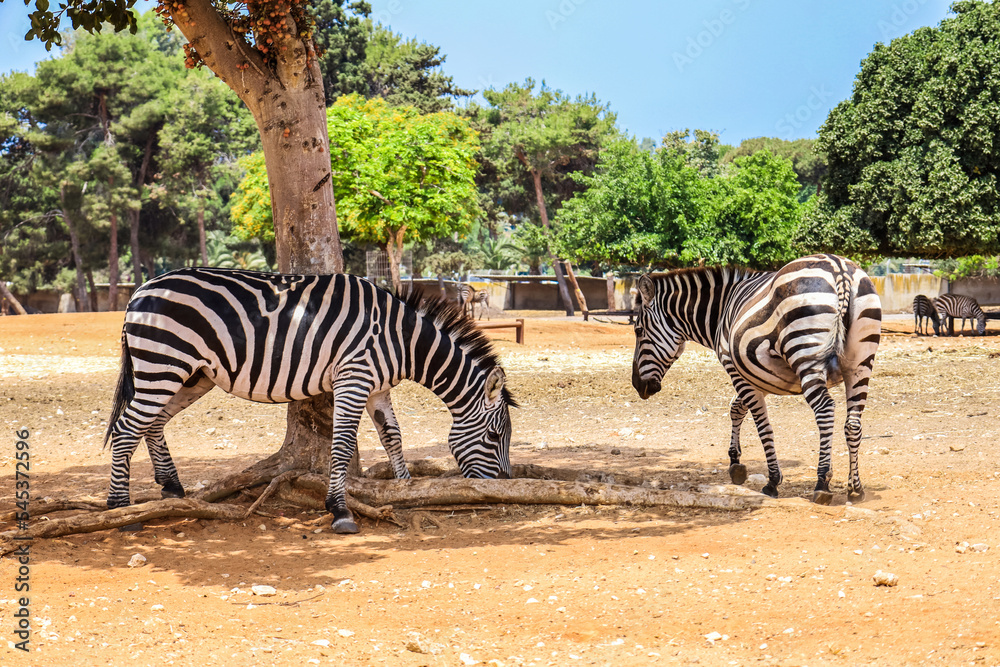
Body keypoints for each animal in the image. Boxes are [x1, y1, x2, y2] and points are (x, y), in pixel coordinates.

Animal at [106, 268, 520, 536]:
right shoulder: (354, 377)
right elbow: (342, 445)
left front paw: (406, 491)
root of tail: (141, 289)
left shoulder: (377, 387)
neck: (401, 340)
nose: (504, 487)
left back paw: (171, 488)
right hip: (164, 363)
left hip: (193, 375)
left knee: (153, 423)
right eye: (495, 436)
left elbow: (393, 437)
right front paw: (339, 511)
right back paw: (121, 510)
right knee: (126, 430)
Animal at [636, 253, 880, 504]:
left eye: (638, 331)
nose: (638, 385)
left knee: (825, 410)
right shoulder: (759, 375)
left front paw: (772, 481)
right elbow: (737, 408)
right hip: (860, 362)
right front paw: (736, 463)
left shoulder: (736, 369)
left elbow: (762, 425)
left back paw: (822, 483)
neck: (721, 311)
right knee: (853, 424)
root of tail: (838, 267)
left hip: (806, 355)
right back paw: (855, 488)